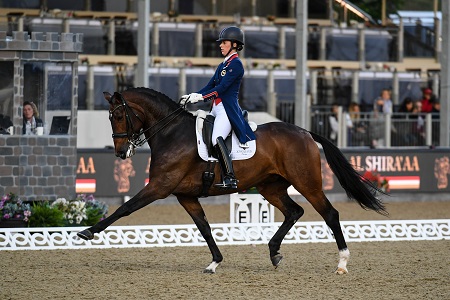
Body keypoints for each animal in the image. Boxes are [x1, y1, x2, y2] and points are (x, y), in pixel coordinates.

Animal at [78, 86, 386, 274]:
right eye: (110, 117)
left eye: (119, 115)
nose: (121, 152)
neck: (172, 133)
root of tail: (305, 132)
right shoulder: (185, 195)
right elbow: (204, 227)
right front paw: (215, 263)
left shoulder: (159, 187)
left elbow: (125, 208)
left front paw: (88, 232)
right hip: (270, 187)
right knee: (294, 212)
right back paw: (274, 253)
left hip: (307, 183)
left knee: (330, 214)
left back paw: (342, 263)